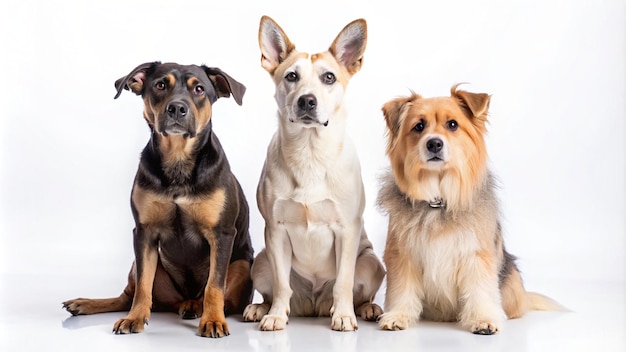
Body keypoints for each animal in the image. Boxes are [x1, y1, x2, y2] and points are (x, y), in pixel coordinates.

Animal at [61, 61, 251, 338]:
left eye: (199, 89)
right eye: (160, 85)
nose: (177, 108)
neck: (178, 160)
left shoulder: (222, 234)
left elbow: (214, 285)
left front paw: (213, 320)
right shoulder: (144, 232)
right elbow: (143, 285)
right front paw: (135, 318)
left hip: (242, 265)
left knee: (211, 293)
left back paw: (195, 307)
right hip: (140, 263)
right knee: (128, 296)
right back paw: (87, 303)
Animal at [241, 15, 382, 332]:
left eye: (329, 77)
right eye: (291, 76)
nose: (307, 101)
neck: (309, 153)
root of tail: (314, 306)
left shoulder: (347, 230)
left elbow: (343, 282)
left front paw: (344, 315)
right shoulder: (275, 230)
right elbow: (282, 284)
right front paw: (275, 316)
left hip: (371, 262)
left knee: (358, 292)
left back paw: (367, 309)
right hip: (261, 260)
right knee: (276, 289)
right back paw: (260, 308)